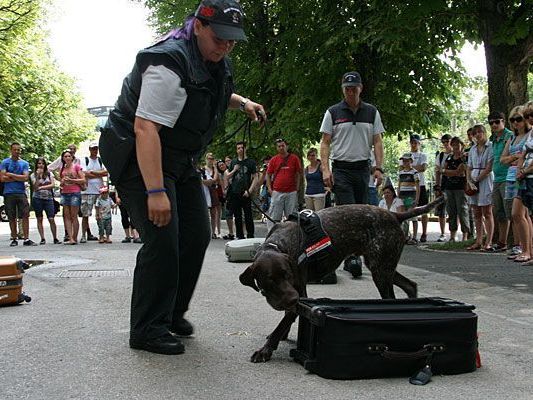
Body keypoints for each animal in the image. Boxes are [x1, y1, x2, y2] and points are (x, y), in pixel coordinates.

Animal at [239, 197, 442, 362]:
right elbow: (285, 319)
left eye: (287, 275)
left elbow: (283, 323)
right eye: (270, 280)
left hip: (381, 270)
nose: (293, 299)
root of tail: (394, 214)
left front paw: (266, 349)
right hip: (382, 266)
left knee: (392, 298)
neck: (277, 244)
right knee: (410, 285)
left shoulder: (299, 293)